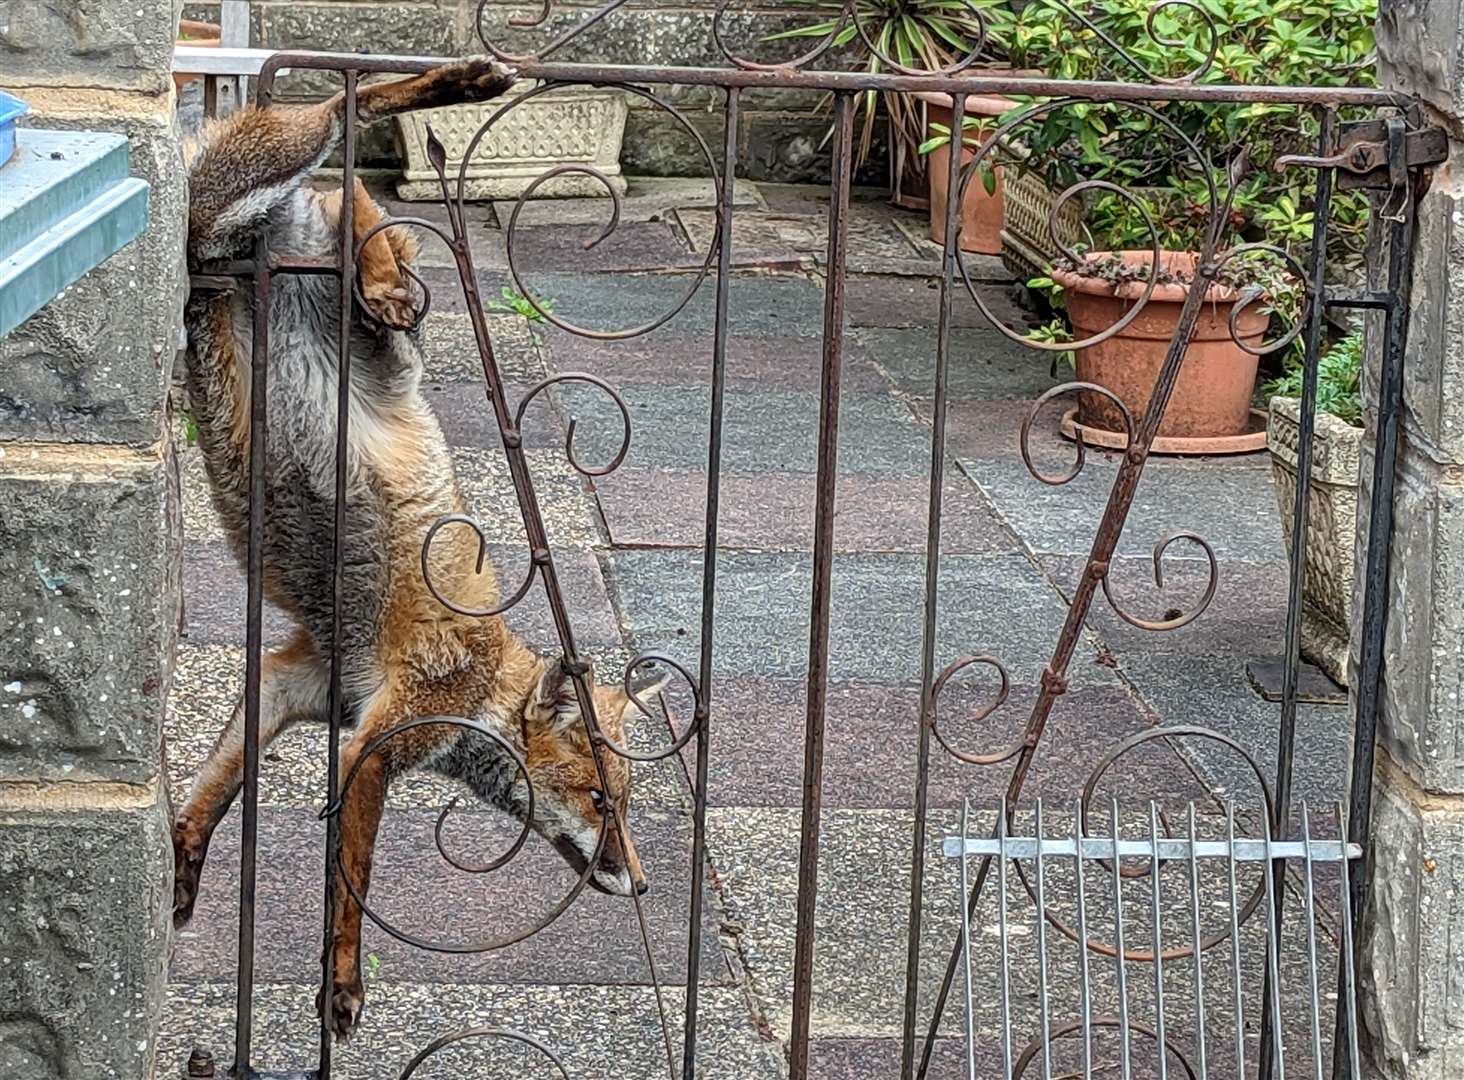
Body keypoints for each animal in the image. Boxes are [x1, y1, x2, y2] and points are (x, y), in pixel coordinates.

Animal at [168, 56, 661, 1036]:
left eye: (625, 805)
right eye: (601, 800)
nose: (639, 882)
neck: (483, 684)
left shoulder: (297, 687)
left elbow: (211, 791)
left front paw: (181, 870)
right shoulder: (374, 744)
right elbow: (353, 884)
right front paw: (343, 984)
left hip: (252, 245)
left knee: (357, 196)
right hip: (258, 200)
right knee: (342, 115)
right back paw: (453, 87)